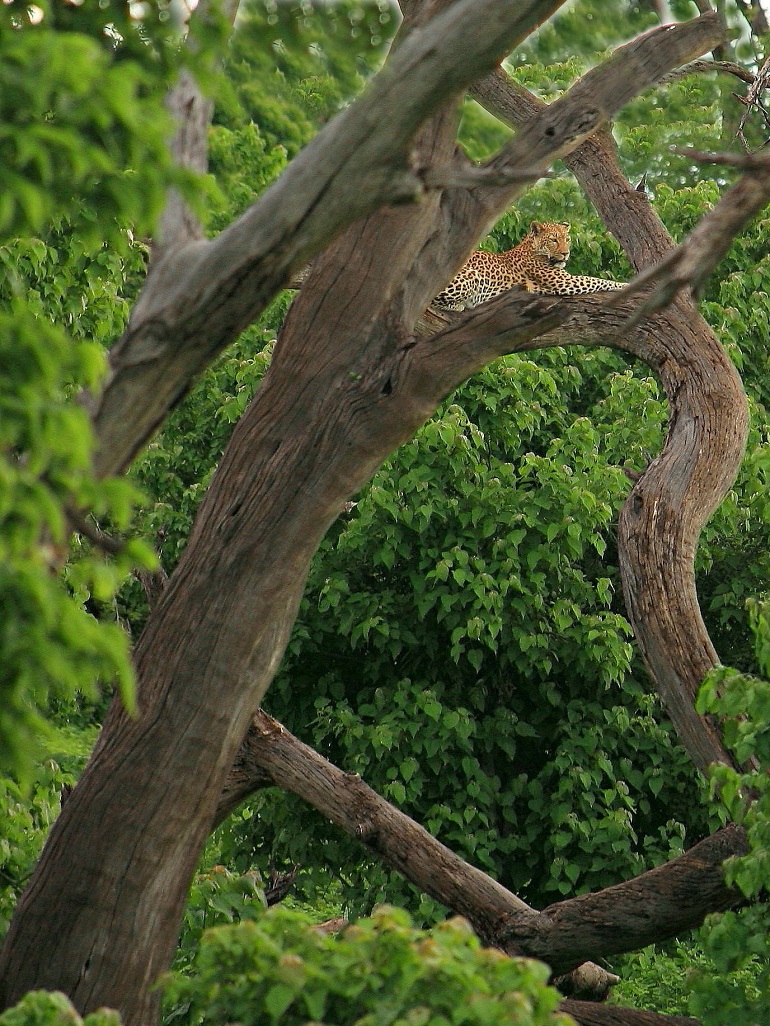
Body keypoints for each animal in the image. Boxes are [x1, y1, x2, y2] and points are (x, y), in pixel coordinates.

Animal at [435, 218, 628, 309]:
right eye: (553, 240)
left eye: (567, 239)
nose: (566, 253)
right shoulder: (565, 282)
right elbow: (596, 280)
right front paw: (625, 285)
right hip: (471, 274)